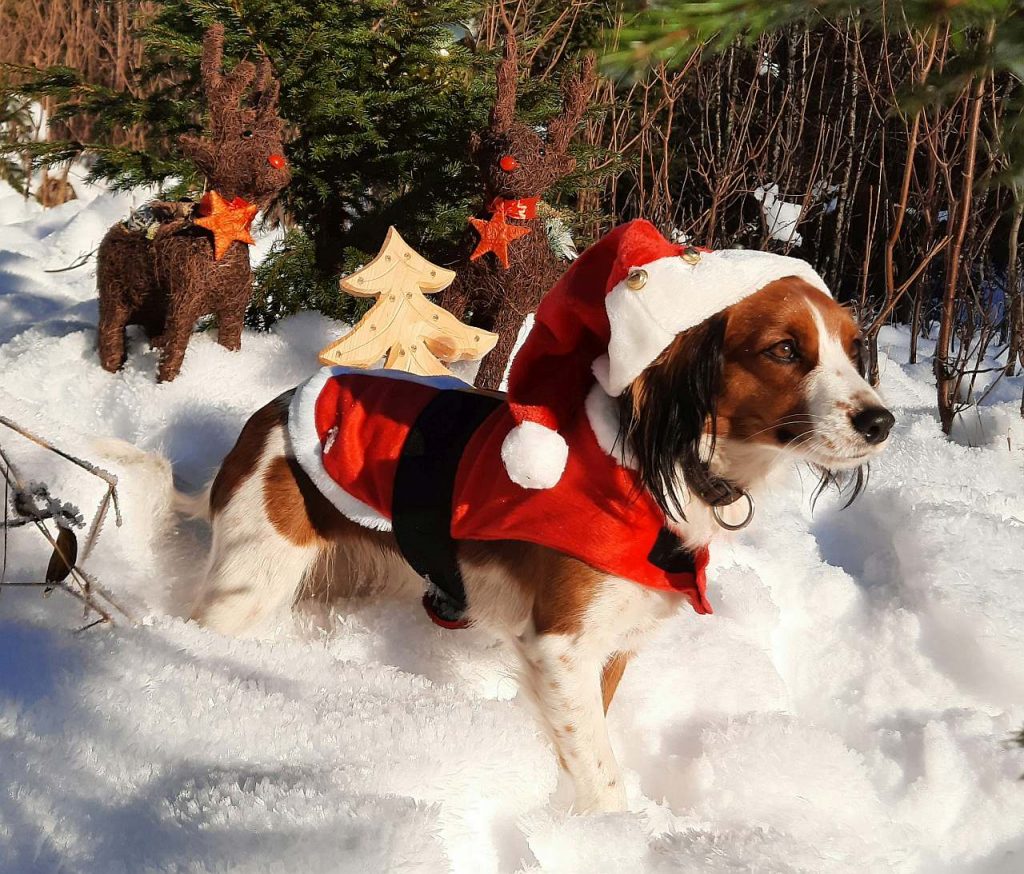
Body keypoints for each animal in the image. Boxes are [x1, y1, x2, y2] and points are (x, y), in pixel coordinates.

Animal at [186, 274, 897, 814]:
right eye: (784, 349)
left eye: (853, 347)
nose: (881, 420)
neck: (655, 472)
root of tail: (266, 416)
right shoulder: (561, 644)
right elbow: (602, 776)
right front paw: (611, 839)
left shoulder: (608, 647)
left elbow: (586, 743)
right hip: (248, 585)